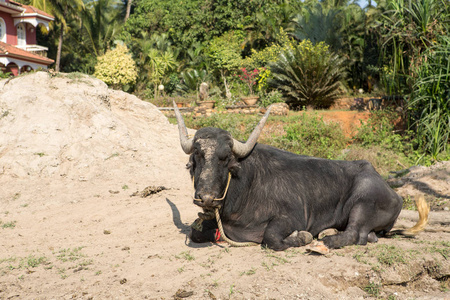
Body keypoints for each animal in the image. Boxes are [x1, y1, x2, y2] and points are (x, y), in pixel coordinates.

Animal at [174, 103, 428, 251]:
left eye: (225, 158)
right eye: (197, 157)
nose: (206, 198)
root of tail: (394, 193)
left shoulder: (290, 218)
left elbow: (271, 239)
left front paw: (303, 238)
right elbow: (196, 232)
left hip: (363, 201)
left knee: (357, 234)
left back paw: (326, 239)